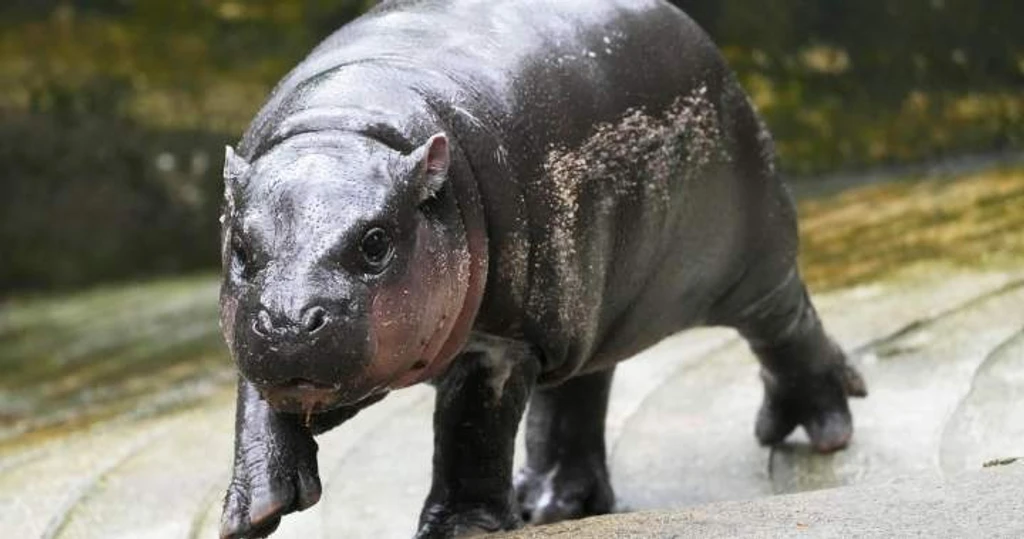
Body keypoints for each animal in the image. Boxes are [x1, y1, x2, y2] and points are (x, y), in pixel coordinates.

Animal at [217, 0, 868, 537]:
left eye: (375, 242)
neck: (346, 127)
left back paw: (821, 428)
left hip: (749, 259)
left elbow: (472, 430)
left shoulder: (504, 340)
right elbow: (255, 403)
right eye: (241, 248)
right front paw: (256, 511)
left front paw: (462, 530)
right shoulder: (251, 328)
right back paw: (552, 504)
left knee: (786, 323)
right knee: (578, 393)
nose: (290, 322)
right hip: (591, 307)